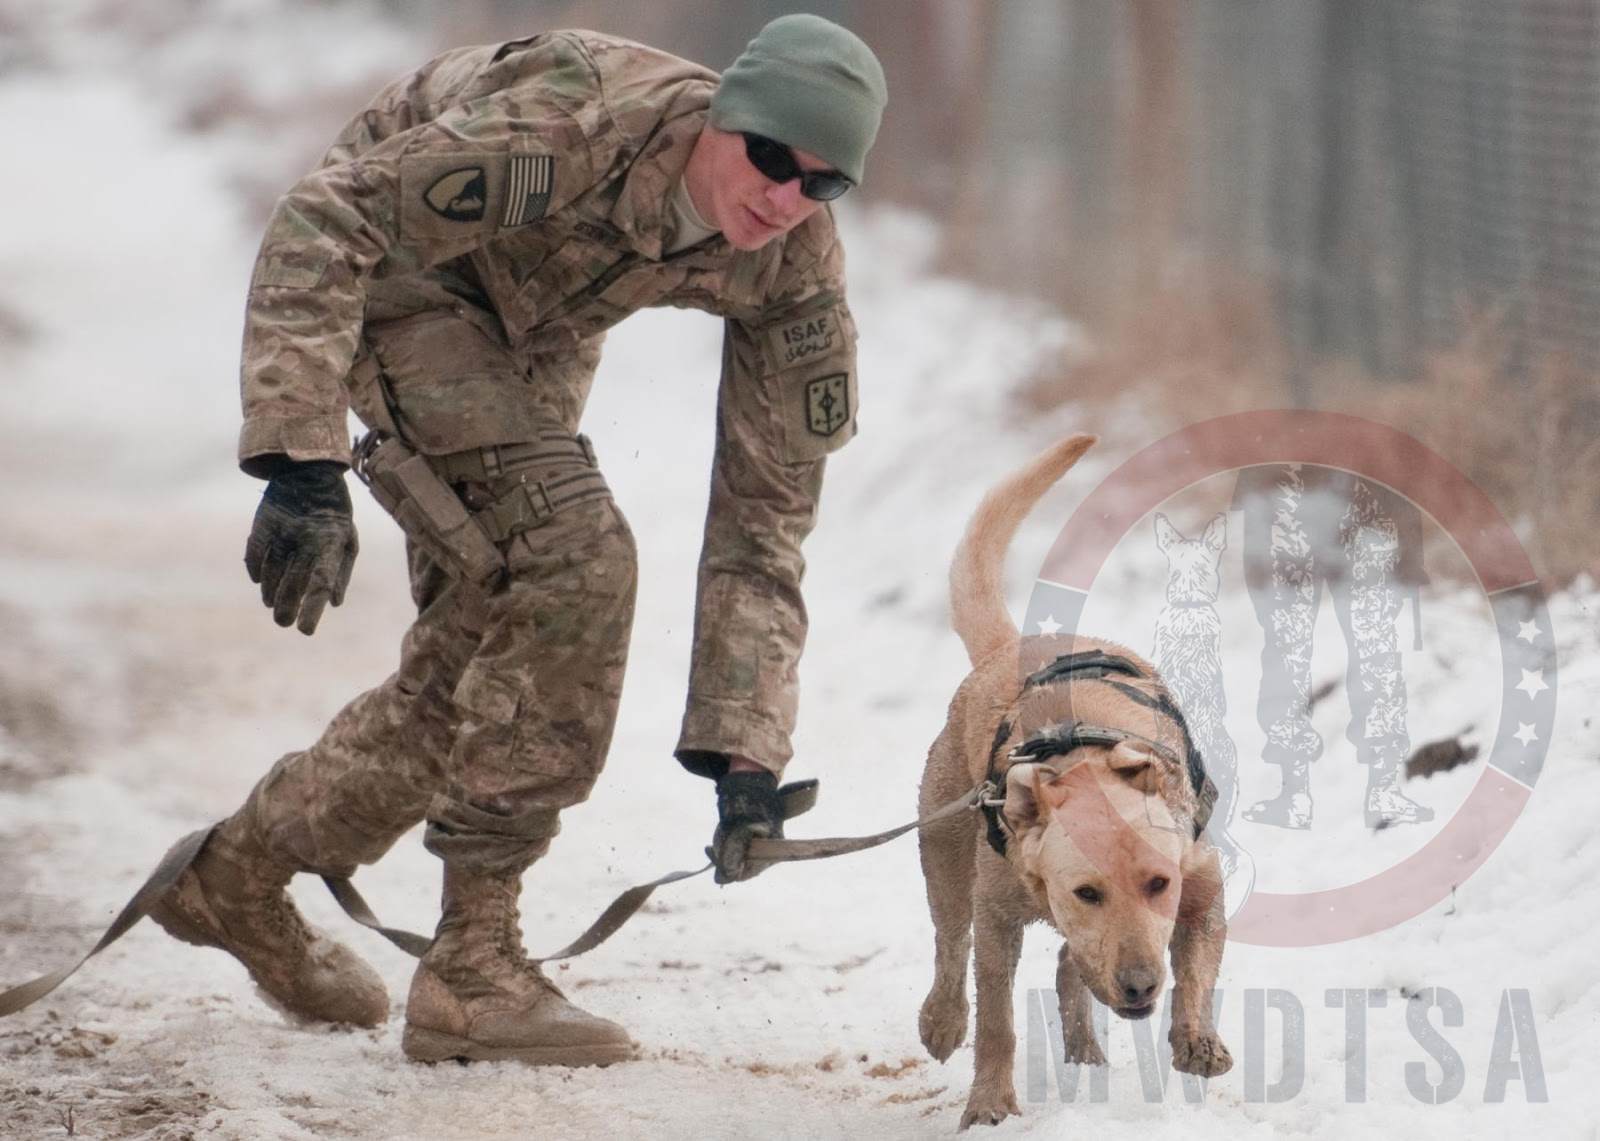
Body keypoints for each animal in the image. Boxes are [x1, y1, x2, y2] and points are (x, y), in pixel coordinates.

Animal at [915, 432, 1235, 1126]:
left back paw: (1085, 1049)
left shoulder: (1201, 882)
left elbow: (1198, 972)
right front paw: (989, 1105)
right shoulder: (997, 916)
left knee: (1068, 961)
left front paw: (1197, 1039)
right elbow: (997, 1020)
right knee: (950, 944)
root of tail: (1006, 649)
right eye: (1087, 891)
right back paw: (942, 1021)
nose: (1140, 984)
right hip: (941, 849)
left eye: (1159, 883)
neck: (1087, 761)